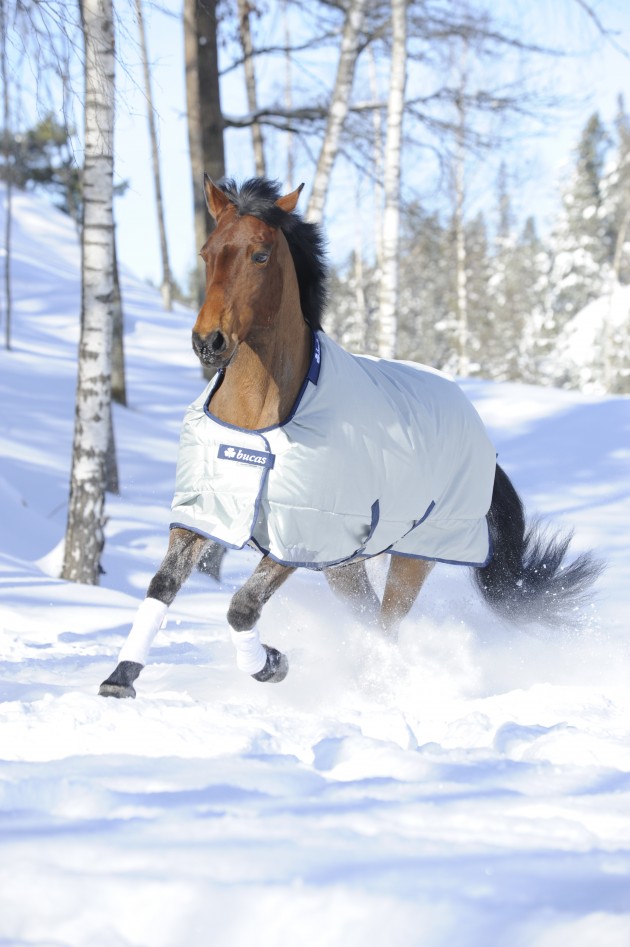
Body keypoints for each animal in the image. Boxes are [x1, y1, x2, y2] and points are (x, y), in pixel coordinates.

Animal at [99, 176, 602, 699]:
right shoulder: (204, 514)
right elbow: (161, 585)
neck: (259, 424)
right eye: (206, 251)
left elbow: (241, 607)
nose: (208, 342)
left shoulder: (300, 541)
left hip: (412, 559)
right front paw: (120, 679)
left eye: (260, 254)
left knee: (386, 622)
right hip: (346, 565)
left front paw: (271, 663)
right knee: (367, 617)